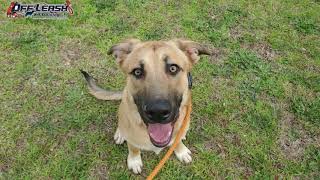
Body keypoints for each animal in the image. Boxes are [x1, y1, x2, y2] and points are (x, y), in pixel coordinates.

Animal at [81, 38, 211, 174]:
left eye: (173, 68)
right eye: (137, 71)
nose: (158, 112)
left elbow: (177, 141)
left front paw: (181, 151)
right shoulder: (132, 139)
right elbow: (133, 148)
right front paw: (134, 160)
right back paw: (120, 134)